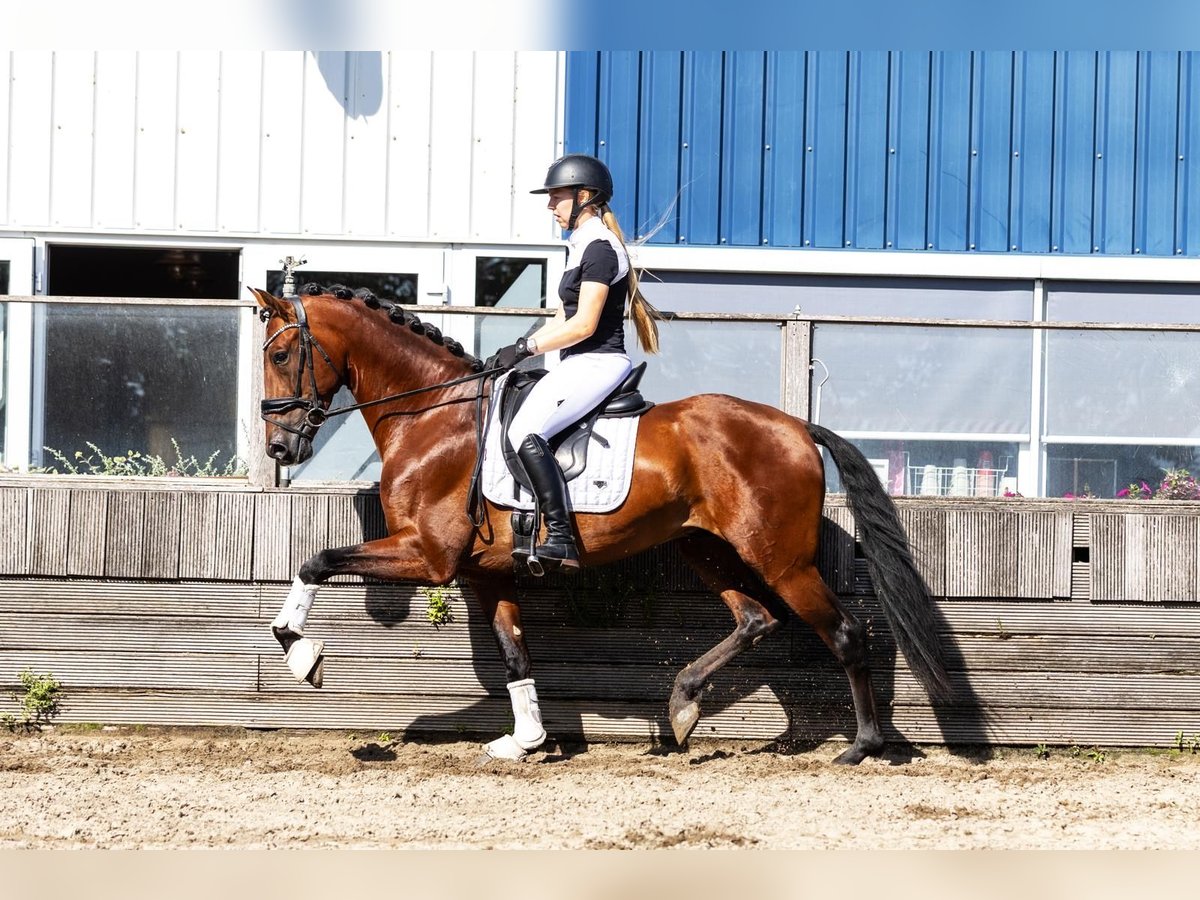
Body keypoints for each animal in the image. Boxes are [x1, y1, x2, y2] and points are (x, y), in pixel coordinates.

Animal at [251, 283, 951, 764]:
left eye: (283, 354)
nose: (280, 447)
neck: (432, 415)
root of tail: (797, 427)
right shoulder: (484, 572)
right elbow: (514, 653)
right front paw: (527, 739)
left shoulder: (429, 555)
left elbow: (316, 560)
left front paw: (302, 655)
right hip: (705, 548)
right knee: (756, 619)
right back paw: (682, 705)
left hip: (782, 559)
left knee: (845, 631)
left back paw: (861, 746)